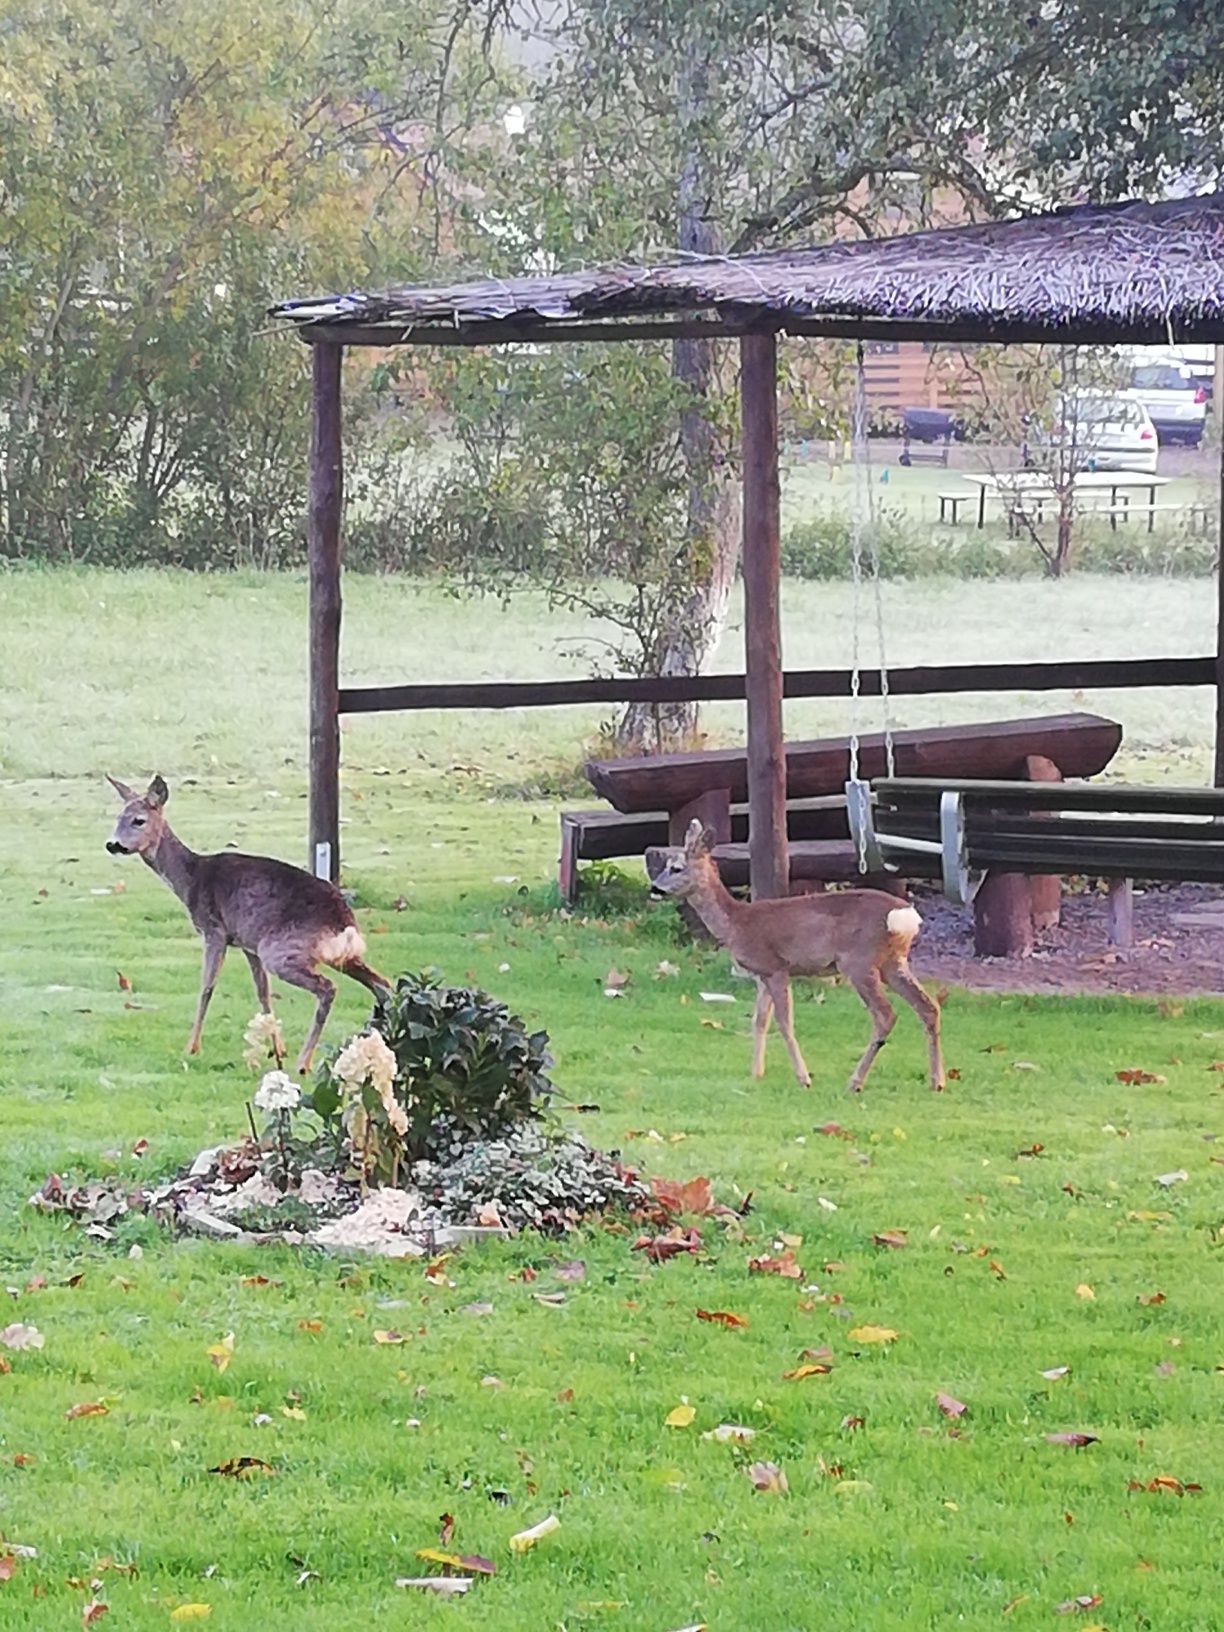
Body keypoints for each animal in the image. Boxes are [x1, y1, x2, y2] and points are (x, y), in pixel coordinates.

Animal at [107, 773, 393, 1077]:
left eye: (139, 820)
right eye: (118, 817)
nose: (112, 844)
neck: (190, 879)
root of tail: (345, 925)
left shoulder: (214, 930)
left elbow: (206, 987)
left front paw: (190, 1047)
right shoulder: (248, 943)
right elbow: (263, 993)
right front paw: (277, 1048)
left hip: (280, 950)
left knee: (329, 988)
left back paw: (304, 1062)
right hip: (342, 956)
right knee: (383, 984)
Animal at [652, 816, 946, 1096]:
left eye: (676, 868)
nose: (654, 888)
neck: (737, 922)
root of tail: (906, 917)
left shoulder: (777, 967)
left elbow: (784, 1022)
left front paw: (803, 1078)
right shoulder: (762, 974)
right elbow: (759, 1021)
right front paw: (756, 1073)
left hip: (859, 962)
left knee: (886, 1016)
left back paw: (855, 1082)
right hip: (892, 962)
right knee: (928, 1007)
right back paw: (937, 1081)